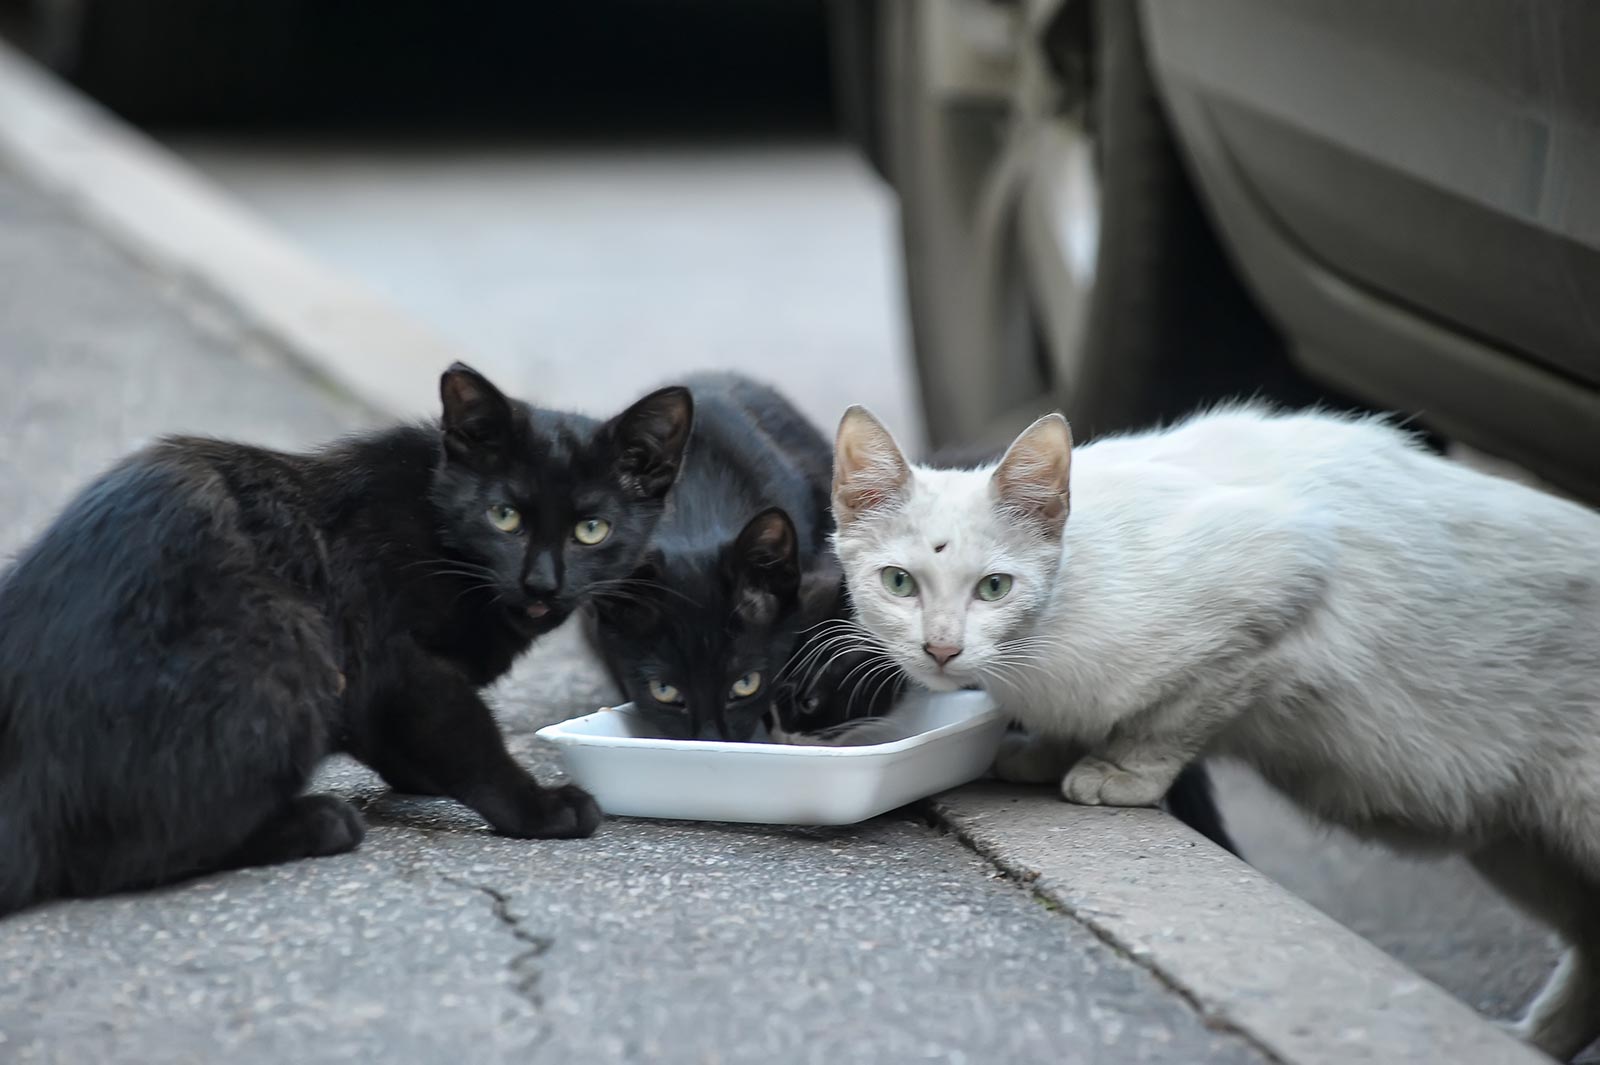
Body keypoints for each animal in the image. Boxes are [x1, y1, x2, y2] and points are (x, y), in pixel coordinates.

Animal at [0, 361, 691, 908]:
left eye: (592, 530)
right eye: (505, 517)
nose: (542, 583)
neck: (435, 524)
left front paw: (418, 774)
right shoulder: (395, 658)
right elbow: (465, 735)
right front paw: (539, 808)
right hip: (290, 643)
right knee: (118, 859)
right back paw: (316, 823)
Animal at [832, 402, 1593, 1055]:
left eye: (994, 587)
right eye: (899, 582)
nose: (941, 649)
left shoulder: (1278, 589)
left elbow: (1176, 715)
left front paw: (1119, 771)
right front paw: (1049, 751)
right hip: (1521, 846)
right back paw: (1532, 1040)